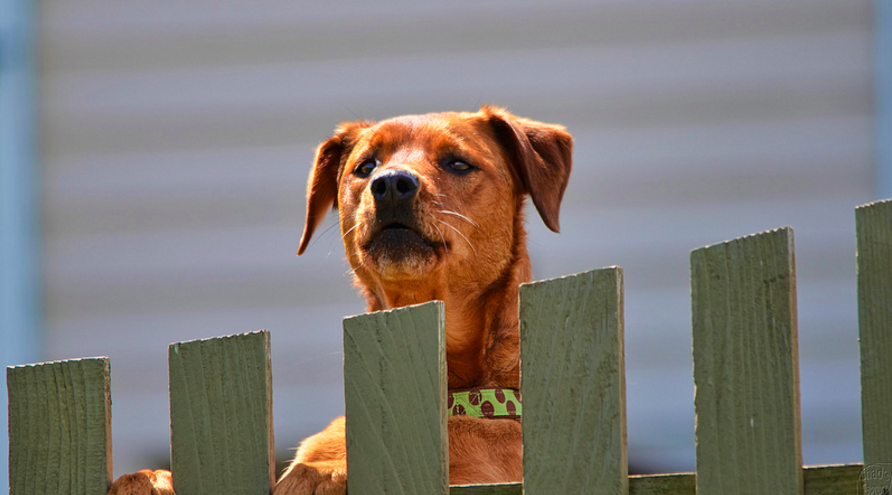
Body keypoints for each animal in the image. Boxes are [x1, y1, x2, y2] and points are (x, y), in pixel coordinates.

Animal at [108, 107, 568, 495]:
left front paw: (325, 471)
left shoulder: (503, 443)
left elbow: (465, 432)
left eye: (458, 163)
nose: (391, 184)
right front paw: (147, 479)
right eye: (365, 167)